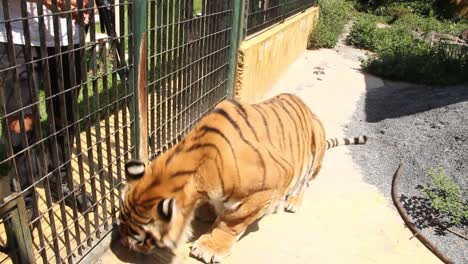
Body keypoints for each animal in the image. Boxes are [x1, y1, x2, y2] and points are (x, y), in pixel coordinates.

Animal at [119, 92, 368, 262]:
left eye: (140, 237)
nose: (123, 244)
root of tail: (307, 107)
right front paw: (207, 212)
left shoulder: (273, 182)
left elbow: (233, 221)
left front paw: (210, 246)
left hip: (316, 143)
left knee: (305, 182)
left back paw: (293, 202)